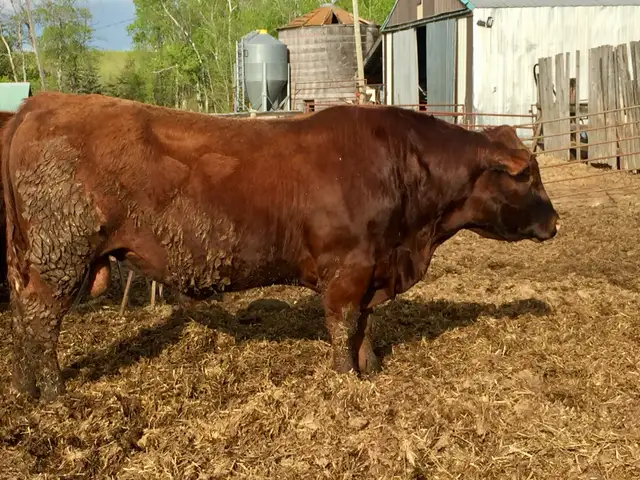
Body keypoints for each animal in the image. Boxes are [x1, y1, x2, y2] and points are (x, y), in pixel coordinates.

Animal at [2, 92, 559, 402]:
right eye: (529, 176)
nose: (555, 222)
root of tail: (40, 103)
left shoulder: (373, 268)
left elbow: (365, 324)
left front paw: (371, 368)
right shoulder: (348, 269)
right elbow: (343, 326)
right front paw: (346, 379)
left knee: (22, 320)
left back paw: (24, 387)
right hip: (59, 259)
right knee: (39, 321)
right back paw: (53, 394)